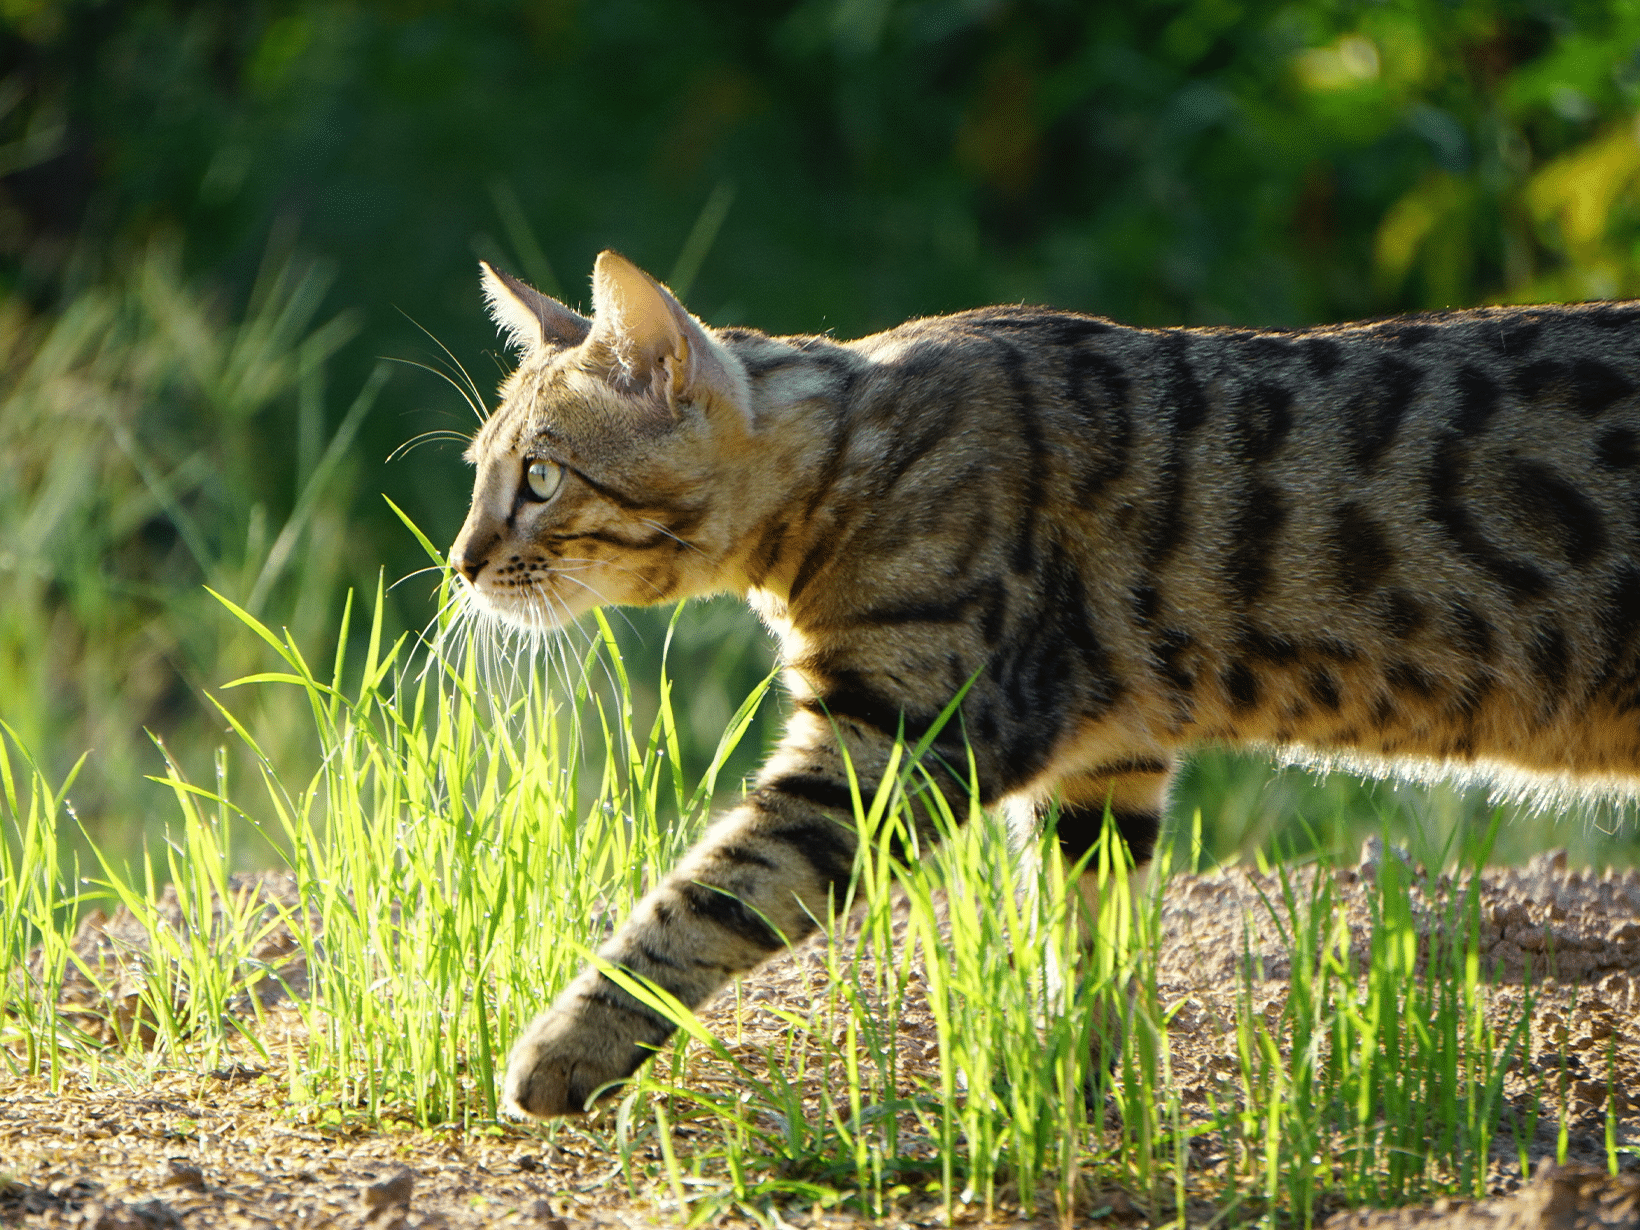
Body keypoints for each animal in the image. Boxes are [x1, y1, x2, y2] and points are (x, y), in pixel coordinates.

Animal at [452, 247, 1640, 1115]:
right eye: (478, 475)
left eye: (541, 478)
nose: (459, 563)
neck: (847, 464)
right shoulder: (1105, 766)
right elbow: (1089, 937)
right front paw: (1078, 1082)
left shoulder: (901, 742)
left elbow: (705, 893)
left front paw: (566, 1043)